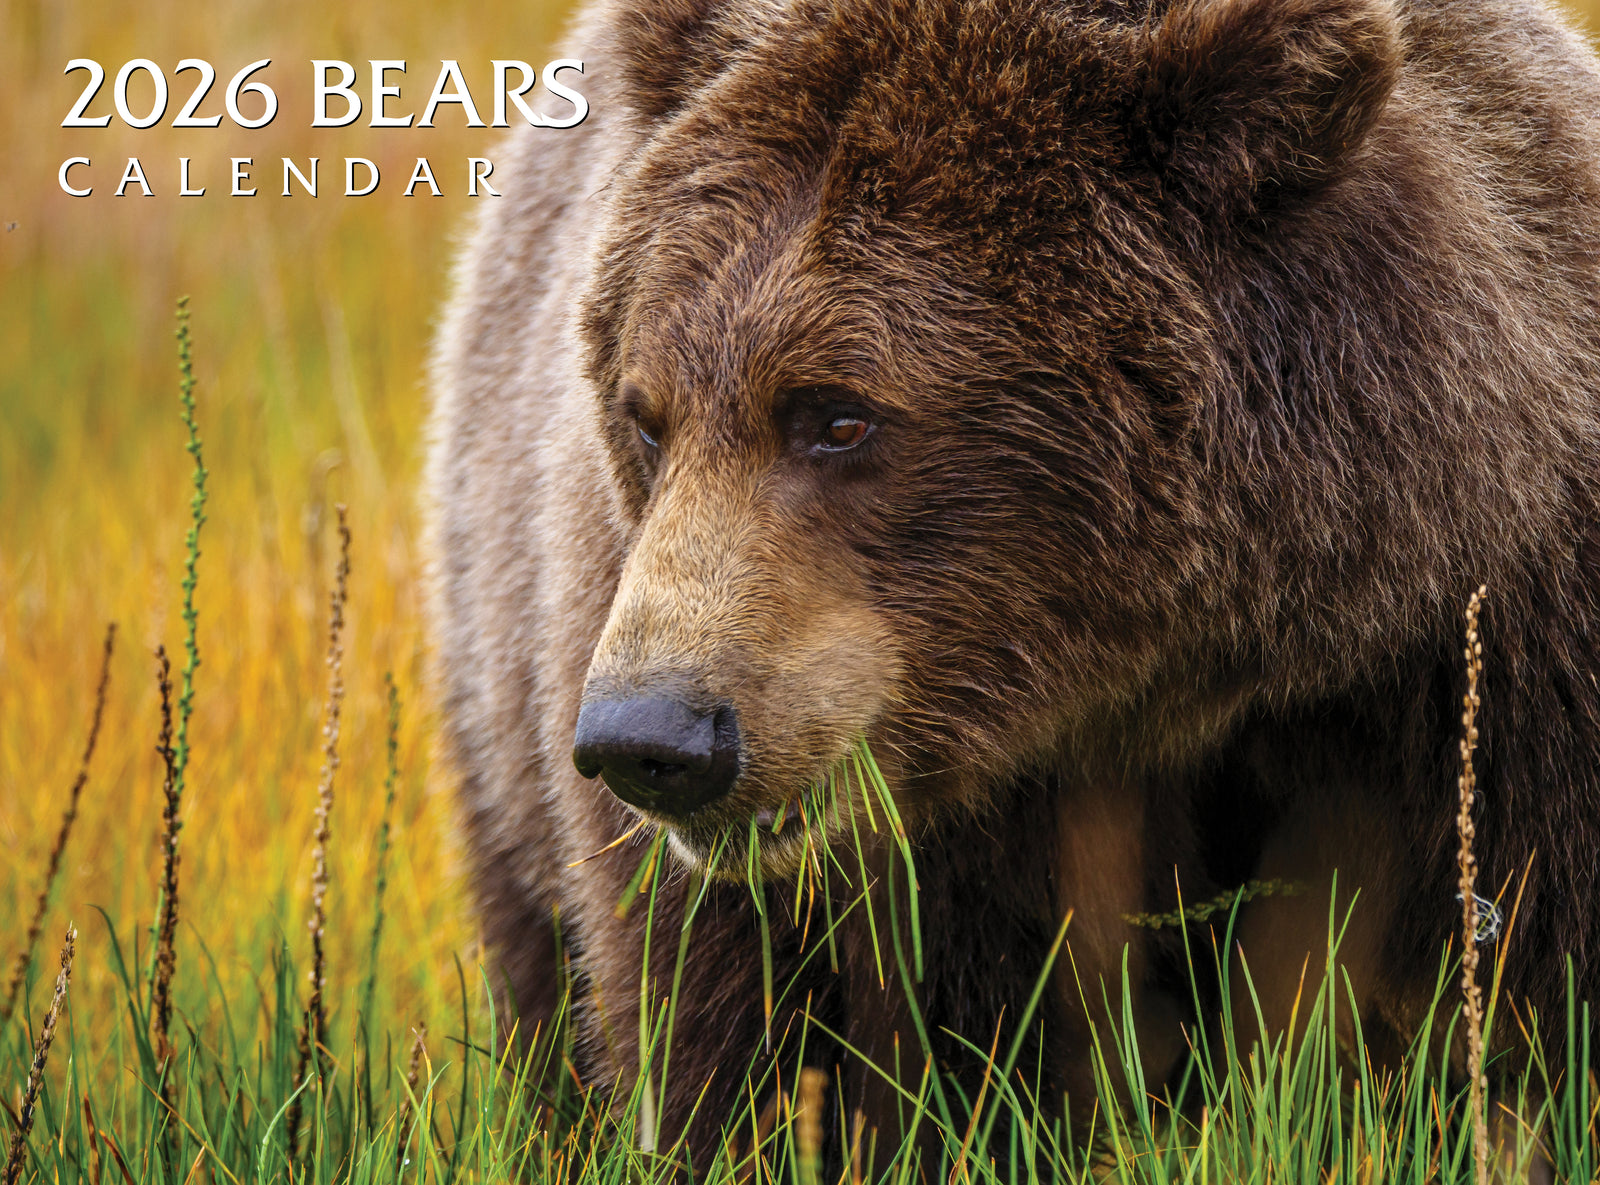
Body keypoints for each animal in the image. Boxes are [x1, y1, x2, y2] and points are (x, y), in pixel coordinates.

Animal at [426, 0, 1600, 1167]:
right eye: (646, 415)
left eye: (838, 416)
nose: (654, 738)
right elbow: (798, 1053)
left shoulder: (1493, 666)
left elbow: (1535, 1007)